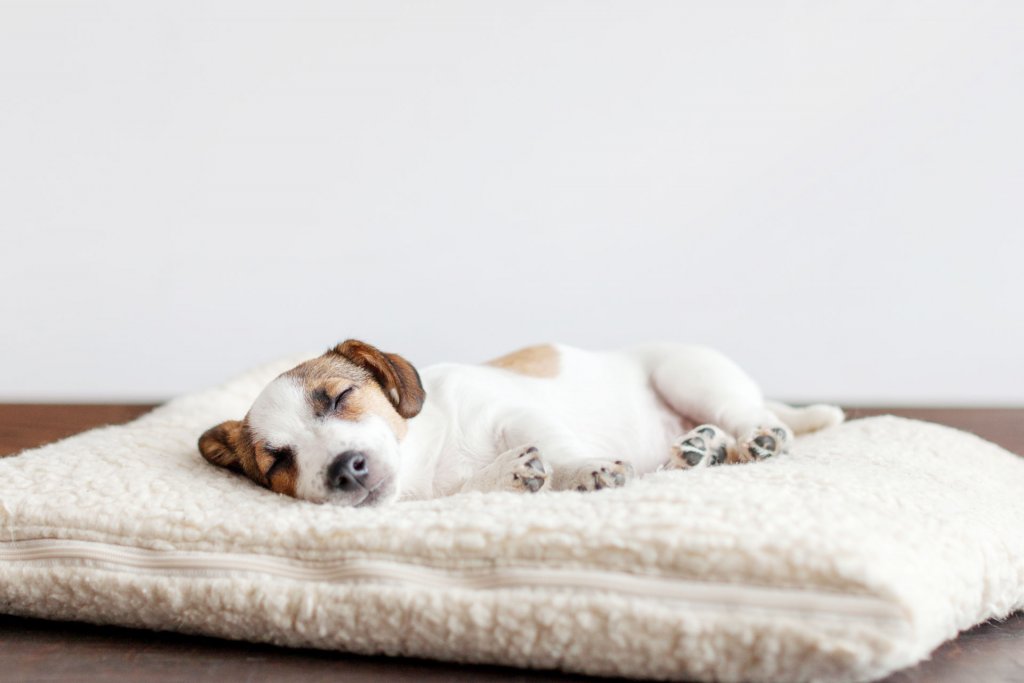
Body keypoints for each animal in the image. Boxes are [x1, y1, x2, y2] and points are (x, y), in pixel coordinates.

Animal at [195, 342, 843, 507]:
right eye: (278, 460)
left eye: (340, 398)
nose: (345, 471)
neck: (428, 459)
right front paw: (511, 474)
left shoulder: (516, 413)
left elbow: (555, 444)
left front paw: (584, 469)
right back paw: (699, 449)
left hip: (691, 374)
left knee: (750, 415)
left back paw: (759, 436)